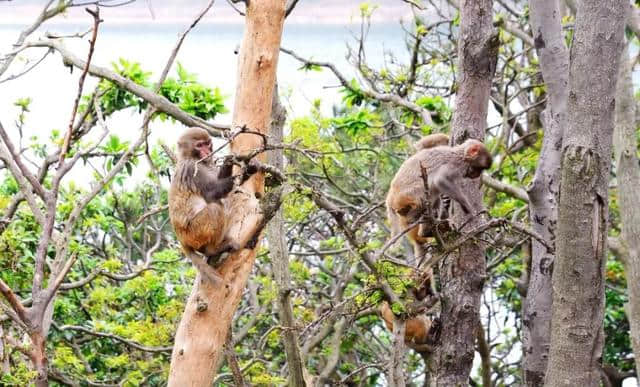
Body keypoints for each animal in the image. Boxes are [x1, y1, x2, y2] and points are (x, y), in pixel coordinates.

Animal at [170, 129, 260, 284]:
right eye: (199, 145)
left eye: (207, 143)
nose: (207, 152)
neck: (189, 157)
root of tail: (181, 239)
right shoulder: (193, 169)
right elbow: (213, 193)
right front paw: (240, 166)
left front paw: (243, 165)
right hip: (194, 232)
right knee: (215, 209)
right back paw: (212, 249)